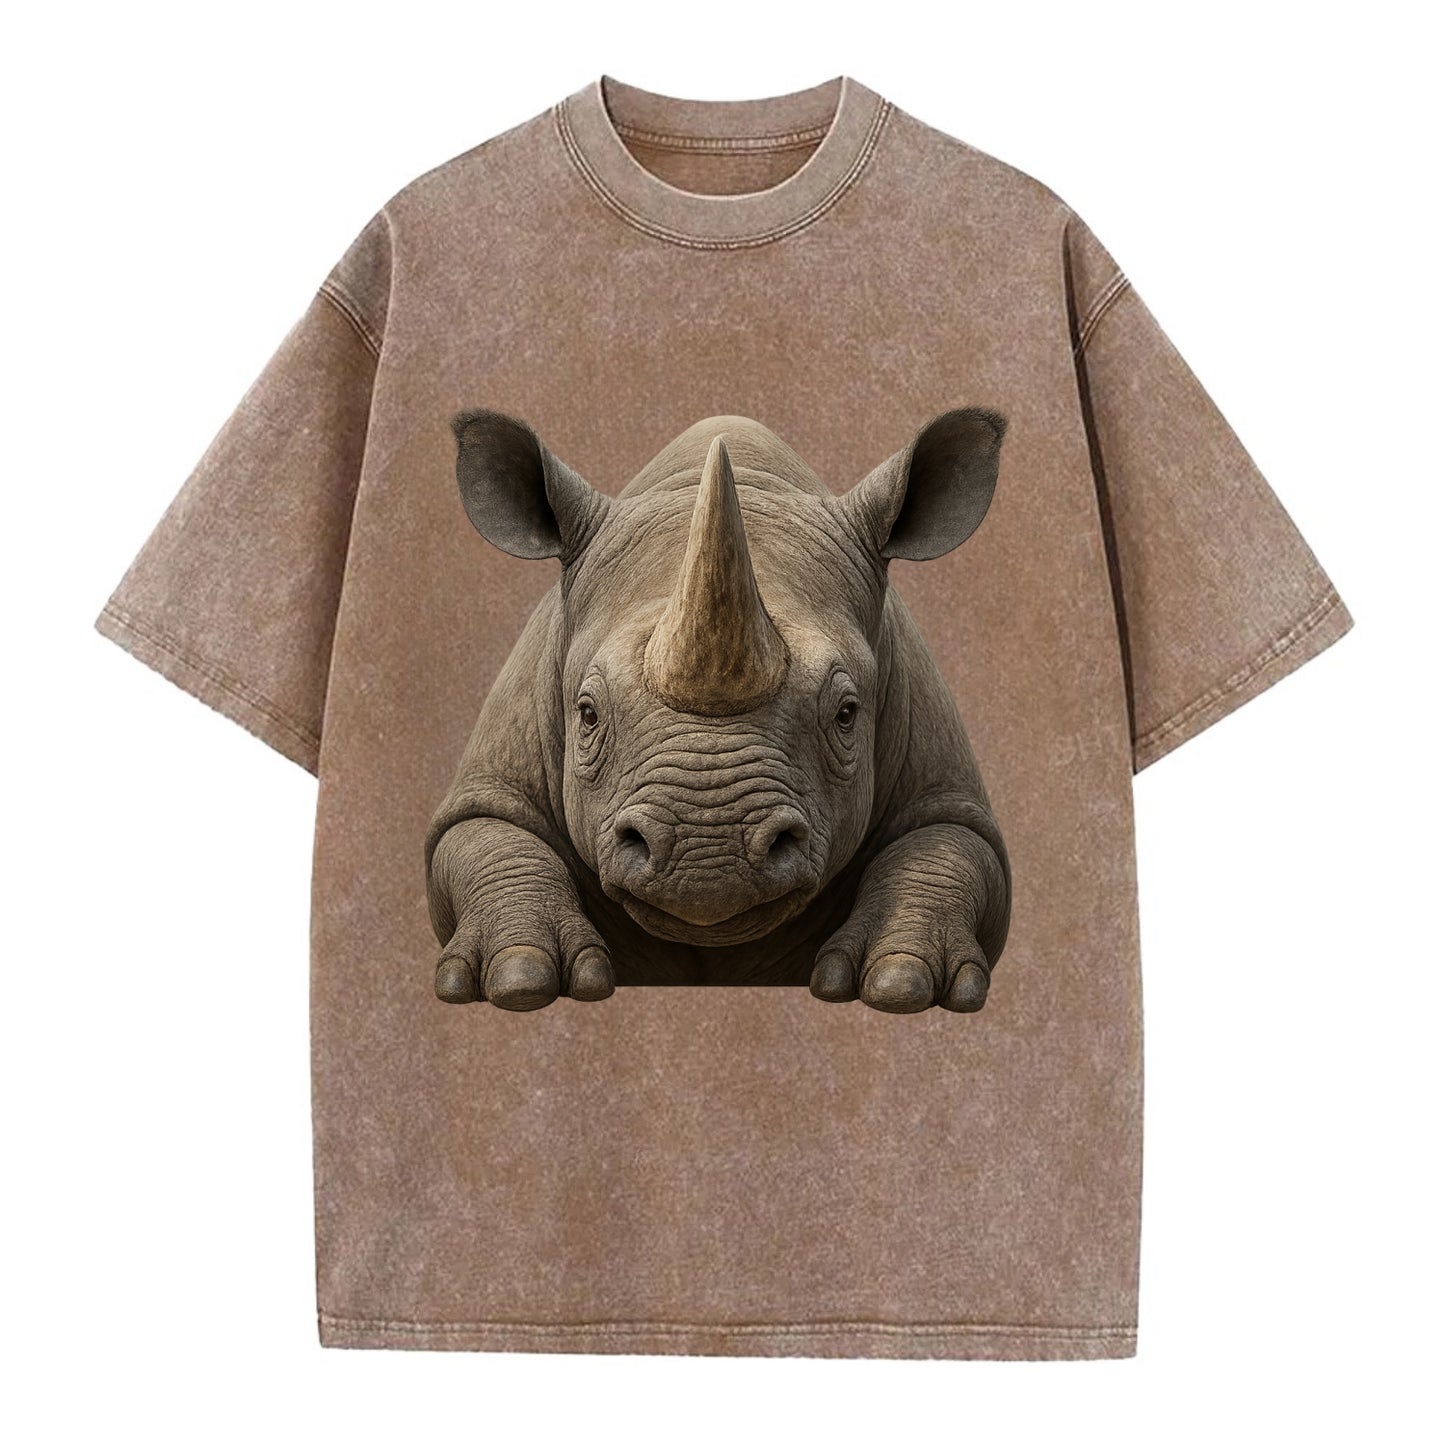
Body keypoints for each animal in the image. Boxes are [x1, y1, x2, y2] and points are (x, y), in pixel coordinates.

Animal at [424, 408, 1011, 1015]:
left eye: (847, 714)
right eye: (587, 714)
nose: (708, 858)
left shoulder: (939, 776)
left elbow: (946, 844)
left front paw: (901, 982)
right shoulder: (494, 778)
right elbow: (486, 834)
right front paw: (520, 978)